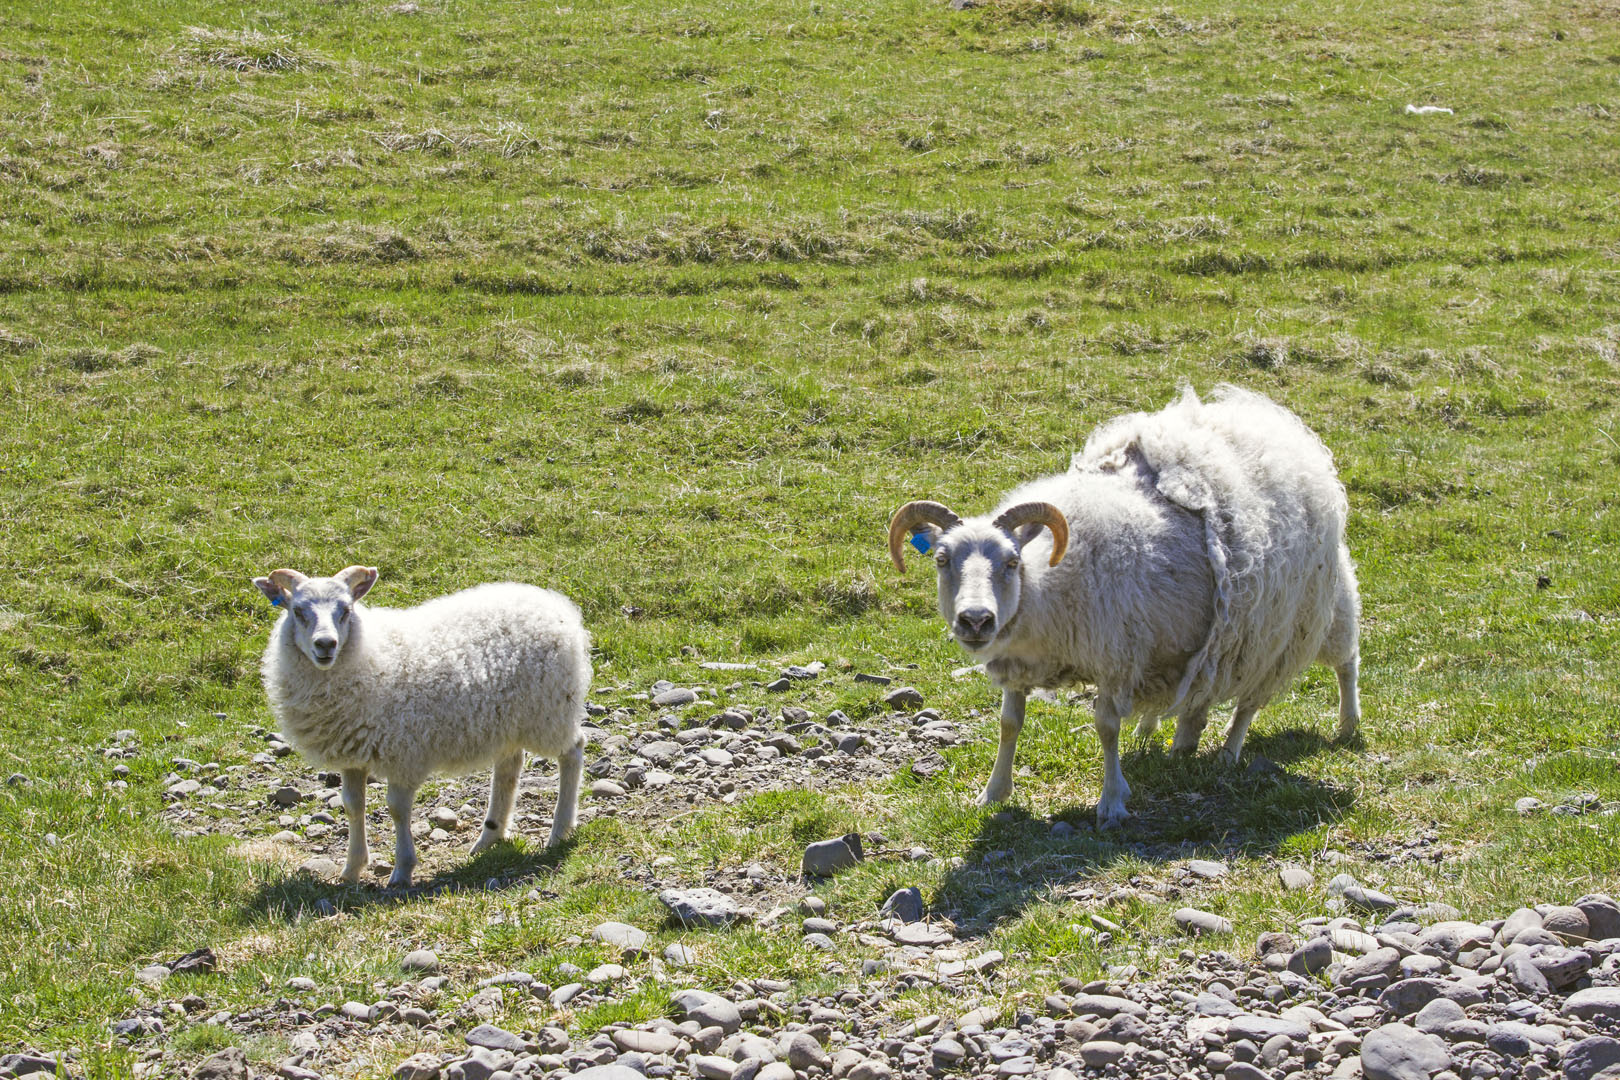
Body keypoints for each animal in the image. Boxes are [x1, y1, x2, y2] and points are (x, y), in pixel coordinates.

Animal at [253, 566, 591, 887]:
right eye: (298, 611)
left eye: (345, 610)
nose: (326, 644)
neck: (366, 656)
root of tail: (553, 603)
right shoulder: (352, 756)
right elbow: (353, 806)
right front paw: (351, 869)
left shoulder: (403, 752)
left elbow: (396, 809)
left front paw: (402, 870)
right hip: (509, 718)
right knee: (510, 765)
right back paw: (489, 836)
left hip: (549, 710)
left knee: (573, 751)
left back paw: (559, 830)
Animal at [887, 384, 1360, 828]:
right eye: (942, 559)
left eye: (1012, 561)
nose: (975, 620)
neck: (1049, 582)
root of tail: (1270, 420)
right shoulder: (1019, 664)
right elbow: (1009, 725)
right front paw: (993, 792)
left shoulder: (1115, 658)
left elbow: (1106, 727)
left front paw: (1112, 801)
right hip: (1201, 641)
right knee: (1197, 696)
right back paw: (1172, 741)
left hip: (1287, 622)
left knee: (1305, 677)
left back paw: (1304, 733)